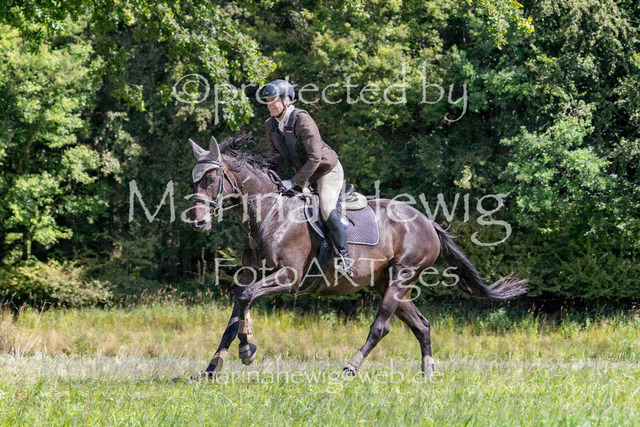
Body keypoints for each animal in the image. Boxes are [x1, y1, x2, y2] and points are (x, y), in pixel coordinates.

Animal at [188, 134, 527, 378]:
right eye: (194, 180)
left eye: (210, 179)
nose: (199, 223)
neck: (270, 213)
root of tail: (427, 222)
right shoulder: (251, 275)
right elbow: (236, 312)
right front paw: (213, 367)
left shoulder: (288, 277)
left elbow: (246, 299)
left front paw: (247, 350)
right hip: (387, 283)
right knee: (422, 325)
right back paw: (428, 373)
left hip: (401, 277)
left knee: (381, 326)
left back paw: (351, 366)